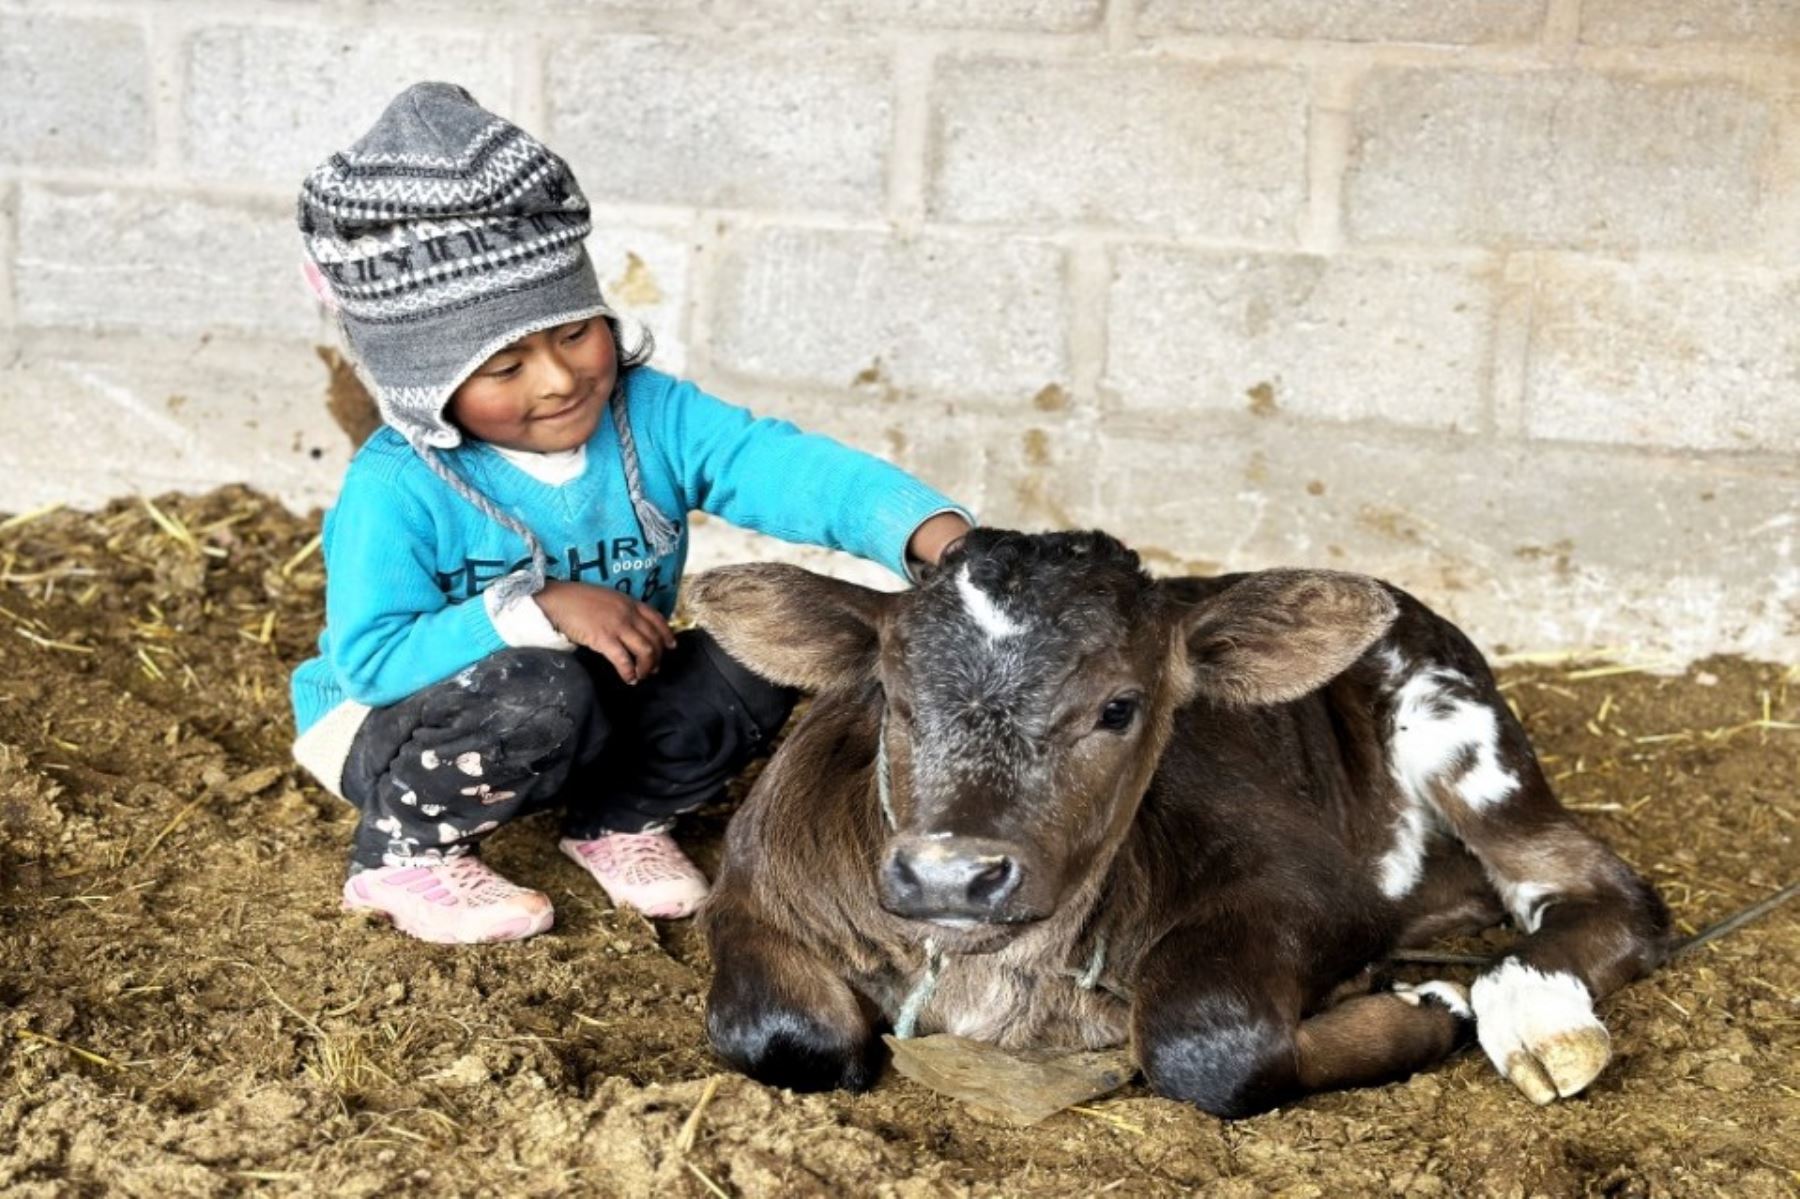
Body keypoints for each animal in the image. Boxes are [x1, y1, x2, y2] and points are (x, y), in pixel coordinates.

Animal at [680, 529, 1663, 1108]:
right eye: (894, 695)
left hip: (1459, 726)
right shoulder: (749, 892)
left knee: (1606, 891)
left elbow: (1202, 1040)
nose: (952, 873)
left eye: (1121, 706)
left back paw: (1533, 1014)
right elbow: (783, 1028)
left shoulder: (1318, 889)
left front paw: (1426, 1004)